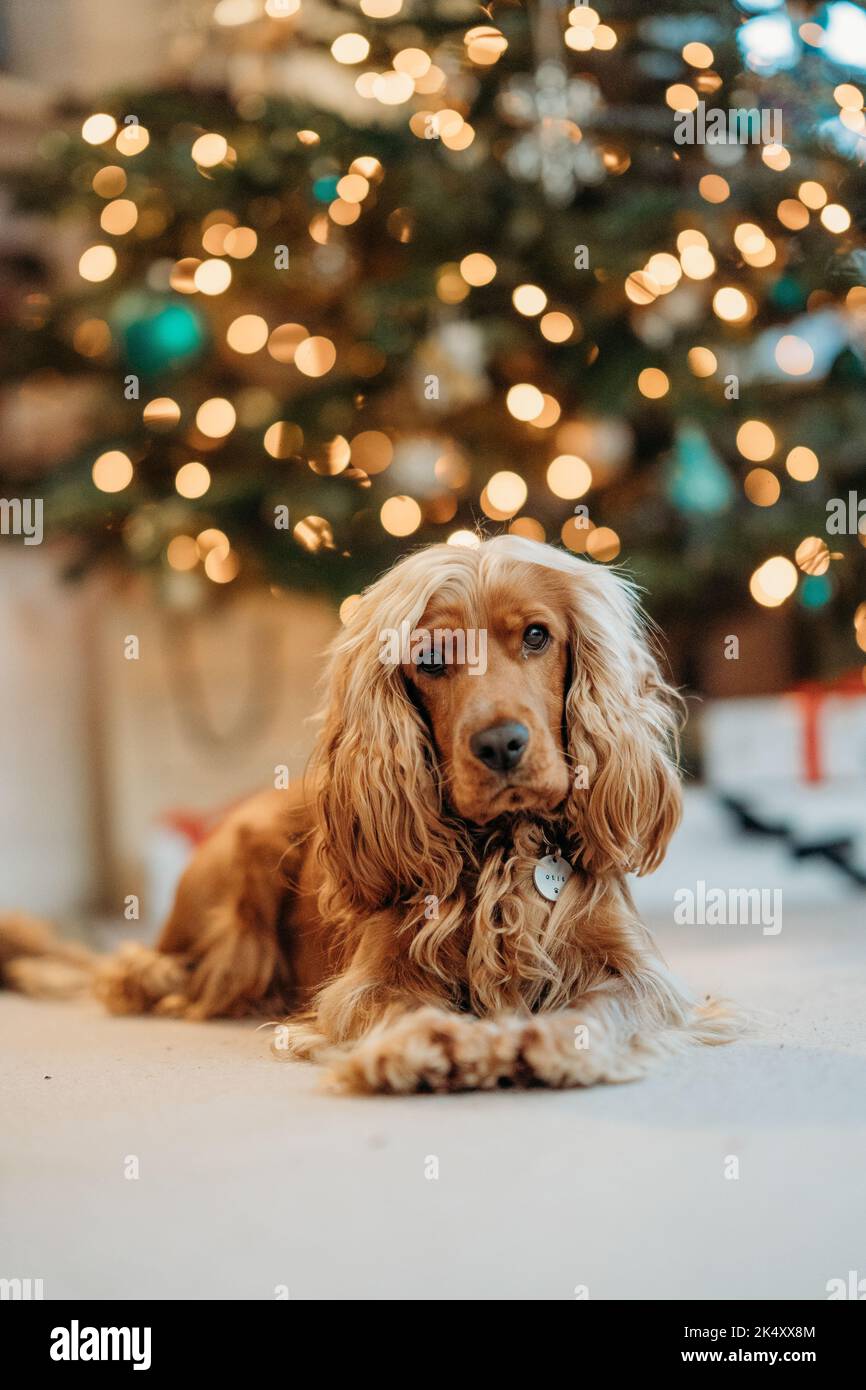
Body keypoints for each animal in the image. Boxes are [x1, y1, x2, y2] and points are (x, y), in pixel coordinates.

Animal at [0, 536, 733, 1089]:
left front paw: (551, 1039)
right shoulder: (373, 975)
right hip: (239, 858)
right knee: (140, 967)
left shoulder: (635, 969)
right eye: (431, 659)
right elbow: (389, 1005)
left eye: (535, 636)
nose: (501, 744)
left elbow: (603, 1003)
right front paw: (423, 1045)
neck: (500, 845)